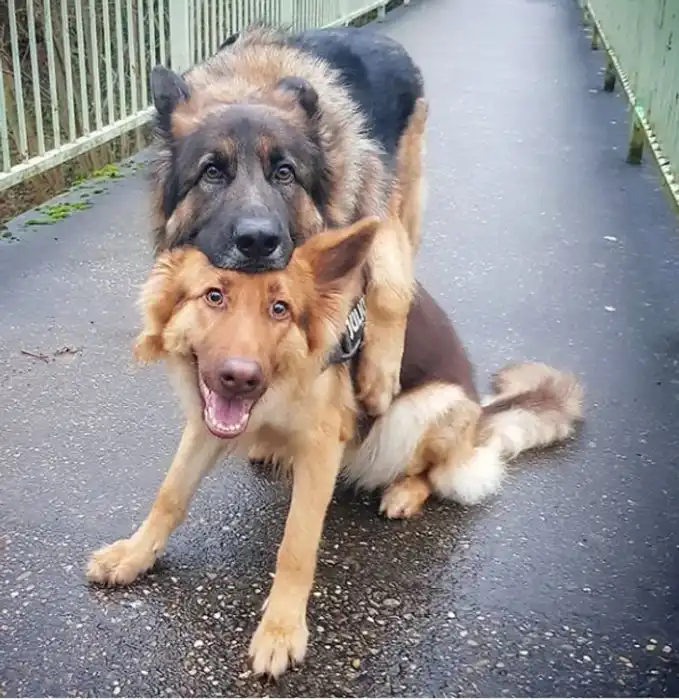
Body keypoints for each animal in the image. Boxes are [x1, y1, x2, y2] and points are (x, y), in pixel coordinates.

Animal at [86, 217, 583, 678]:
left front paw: (281, 629)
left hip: (421, 411)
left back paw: (405, 491)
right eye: (214, 296)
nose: (241, 379)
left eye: (280, 308)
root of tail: (480, 414)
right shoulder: (207, 423)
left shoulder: (322, 446)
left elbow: (297, 543)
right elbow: (170, 495)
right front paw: (135, 555)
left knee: (436, 473)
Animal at [148, 24, 428, 419]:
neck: (247, 84)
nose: (257, 242)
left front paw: (379, 380)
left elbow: (390, 288)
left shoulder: (375, 211)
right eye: (212, 172)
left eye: (284, 173)